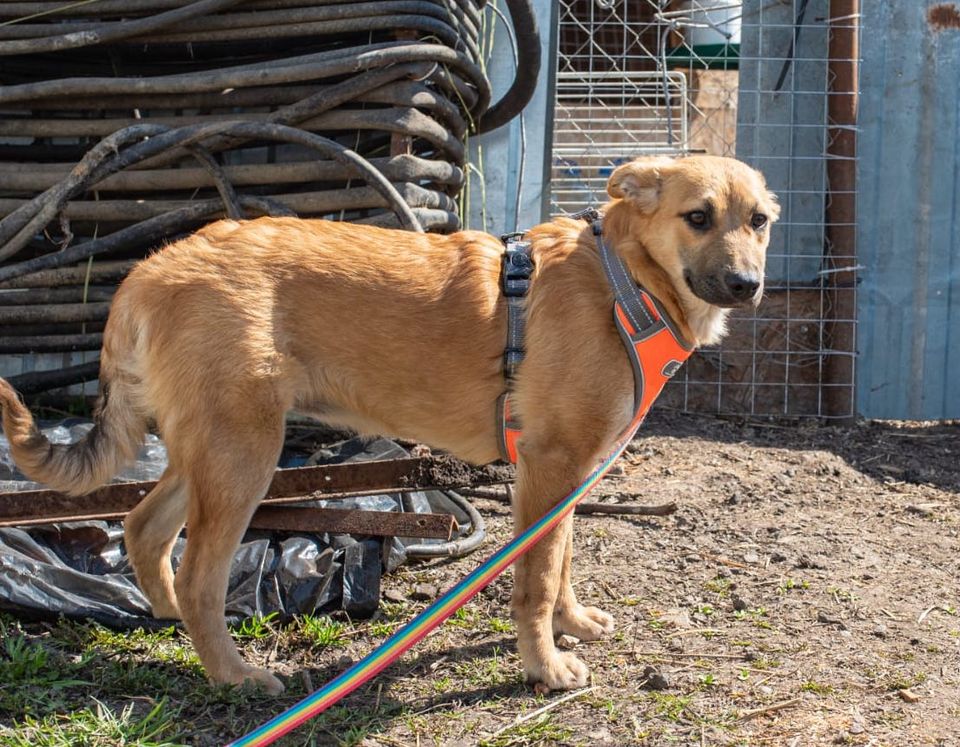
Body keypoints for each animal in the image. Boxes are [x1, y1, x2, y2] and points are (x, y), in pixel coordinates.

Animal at [0, 156, 776, 696]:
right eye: (698, 216)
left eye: (759, 221)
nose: (747, 286)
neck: (625, 279)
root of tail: (153, 267)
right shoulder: (550, 468)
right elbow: (533, 582)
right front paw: (545, 667)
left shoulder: (569, 474)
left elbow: (559, 568)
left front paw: (572, 625)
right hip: (244, 453)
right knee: (198, 573)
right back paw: (234, 673)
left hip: (208, 448)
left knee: (142, 527)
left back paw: (171, 621)